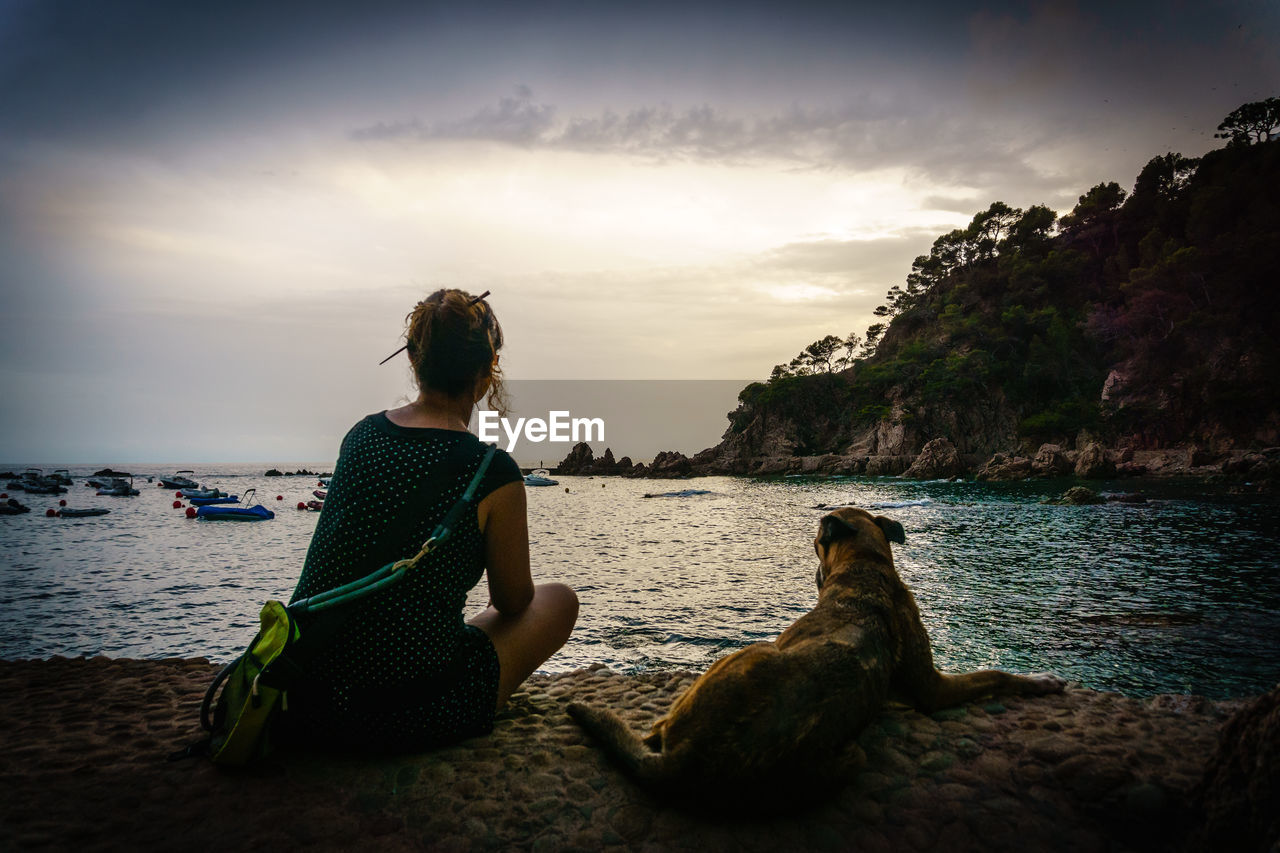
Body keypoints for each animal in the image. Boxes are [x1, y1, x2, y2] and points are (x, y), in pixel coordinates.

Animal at [565, 504, 1064, 809]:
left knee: (655, 729)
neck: (866, 568)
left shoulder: (932, 687)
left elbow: (997, 673)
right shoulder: (931, 687)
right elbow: (995, 674)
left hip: (752, 654)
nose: (815, 574)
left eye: (815, 547)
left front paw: (1039, 681)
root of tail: (685, 762)